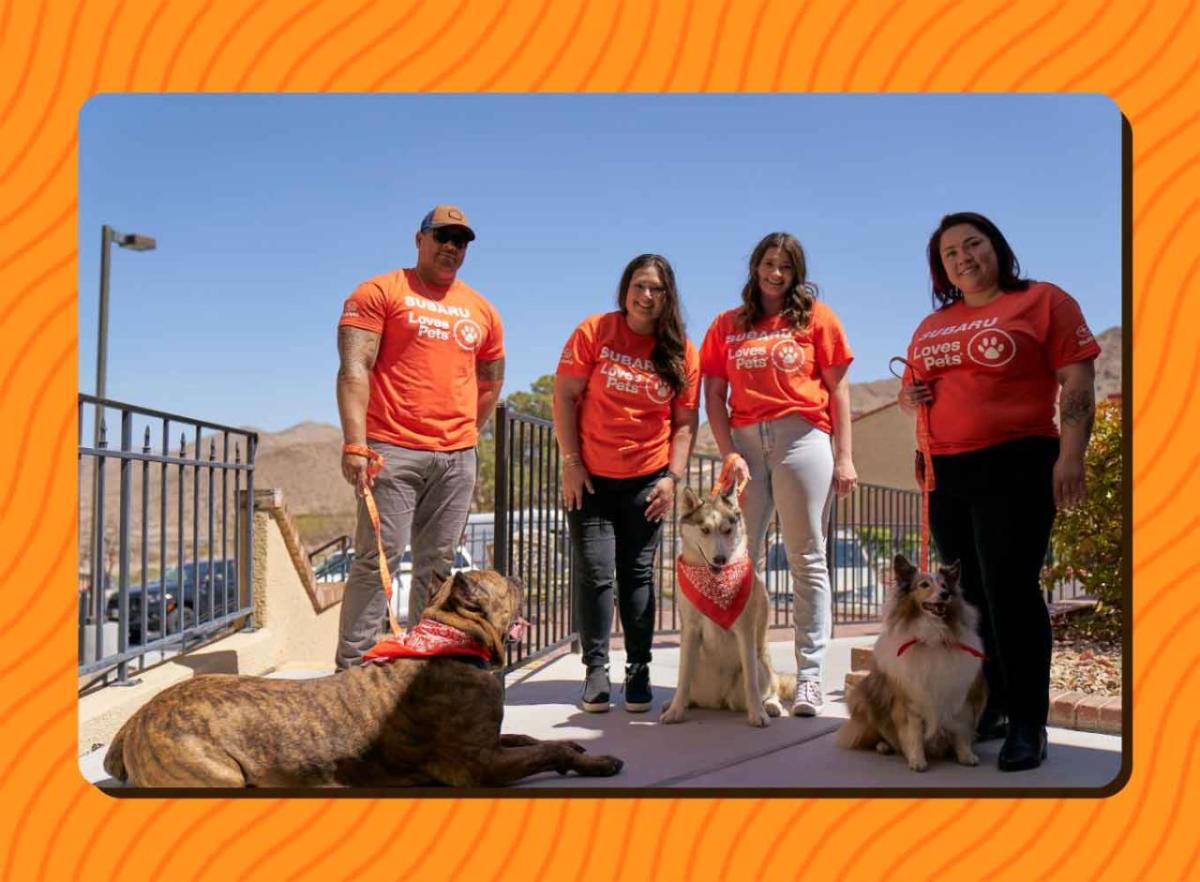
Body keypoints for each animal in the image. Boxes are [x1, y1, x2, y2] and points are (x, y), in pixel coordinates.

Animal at [104, 568, 624, 792]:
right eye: (508, 584)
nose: (520, 577)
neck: (450, 639)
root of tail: (133, 723)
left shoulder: (491, 742)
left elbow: (529, 737)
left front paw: (578, 748)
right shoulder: (480, 767)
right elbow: (544, 751)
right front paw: (597, 760)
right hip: (216, 774)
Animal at [657, 487, 796, 729]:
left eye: (727, 530)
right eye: (705, 530)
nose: (720, 559)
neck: (714, 584)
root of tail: (719, 700)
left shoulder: (745, 631)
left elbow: (751, 681)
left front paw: (758, 714)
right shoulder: (690, 629)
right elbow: (682, 680)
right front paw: (676, 711)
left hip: (761, 667)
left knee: (770, 689)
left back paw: (771, 705)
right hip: (698, 671)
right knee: (687, 683)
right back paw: (678, 703)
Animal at [835, 559, 984, 772]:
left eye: (945, 585)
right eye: (924, 585)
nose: (945, 595)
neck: (932, 638)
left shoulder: (958, 695)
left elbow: (961, 730)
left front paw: (966, 756)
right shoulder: (910, 701)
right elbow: (913, 734)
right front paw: (917, 761)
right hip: (863, 698)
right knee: (876, 735)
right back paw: (884, 746)